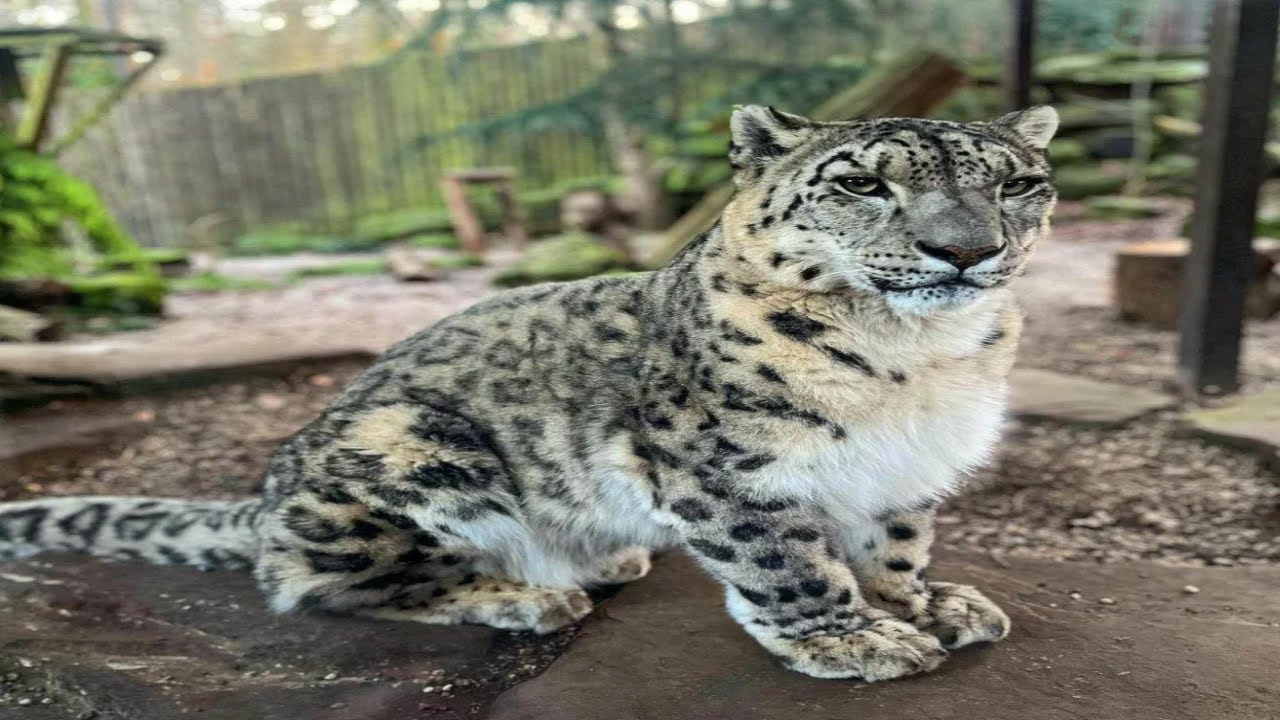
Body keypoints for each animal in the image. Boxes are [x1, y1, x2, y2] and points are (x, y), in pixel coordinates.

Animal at [0, 104, 1058, 682]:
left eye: (1018, 185)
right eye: (863, 184)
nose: (964, 249)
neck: (919, 364)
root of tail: (266, 496)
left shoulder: (903, 473)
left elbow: (894, 545)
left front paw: (925, 605)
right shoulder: (728, 472)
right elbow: (787, 562)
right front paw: (851, 639)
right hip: (417, 451)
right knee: (314, 584)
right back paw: (528, 594)